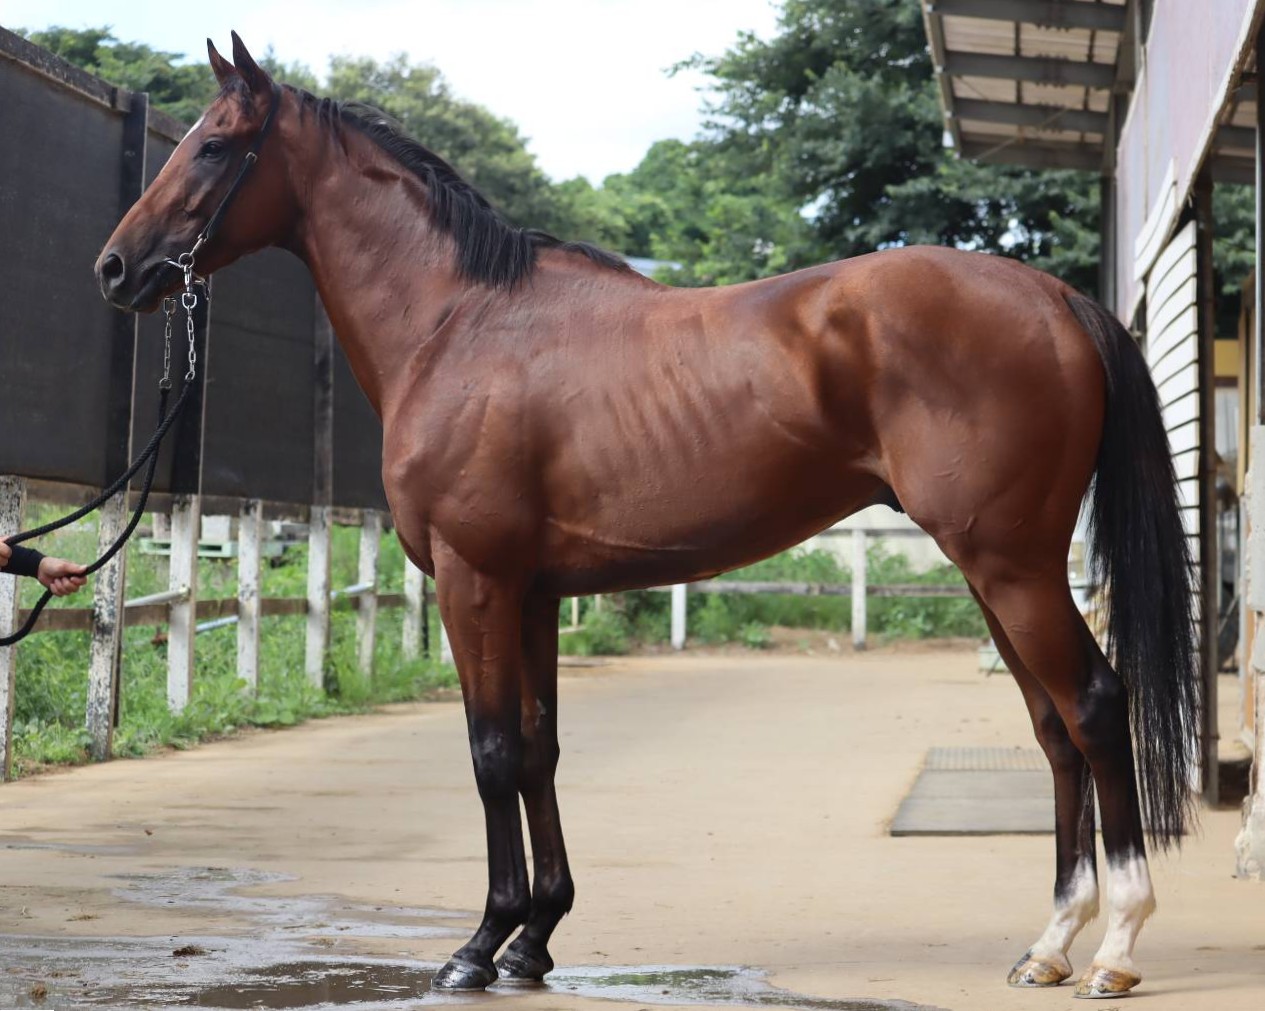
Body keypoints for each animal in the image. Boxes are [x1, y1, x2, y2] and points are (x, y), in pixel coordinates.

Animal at [95, 34, 1200, 1000]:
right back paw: (1049, 945)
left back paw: (1114, 948)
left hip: (1009, 565)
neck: (458, 323)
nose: (115, 268)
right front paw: (536, 937)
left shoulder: (474, 581)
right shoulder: (533, 594)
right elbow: (537, 746)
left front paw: (479, 944)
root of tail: (1055, 299)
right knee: (1052, 728)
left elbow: (490, 751)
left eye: (215, 145)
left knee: (1093, 706)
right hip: (993, 570)